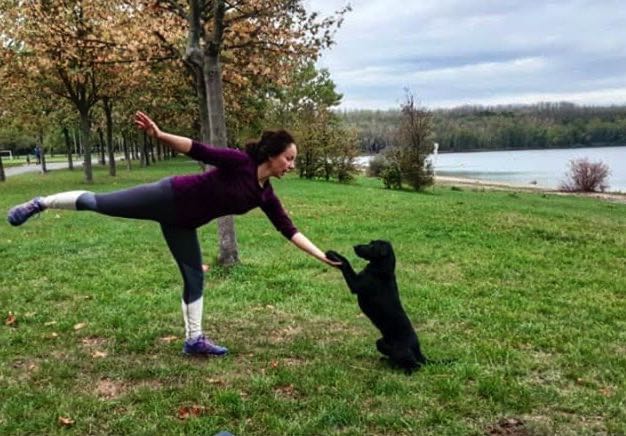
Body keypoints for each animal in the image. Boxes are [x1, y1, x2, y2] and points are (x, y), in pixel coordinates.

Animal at [326, 240, 428, 372]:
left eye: (372, 246)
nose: (355, 246)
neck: (381, 268)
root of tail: (417, 349)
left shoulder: (356, 284)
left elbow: (346, 264)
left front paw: (333, 255)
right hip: (381, 343)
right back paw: (388, 362)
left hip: (401, 351)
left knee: (415, 365)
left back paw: (407, 371)